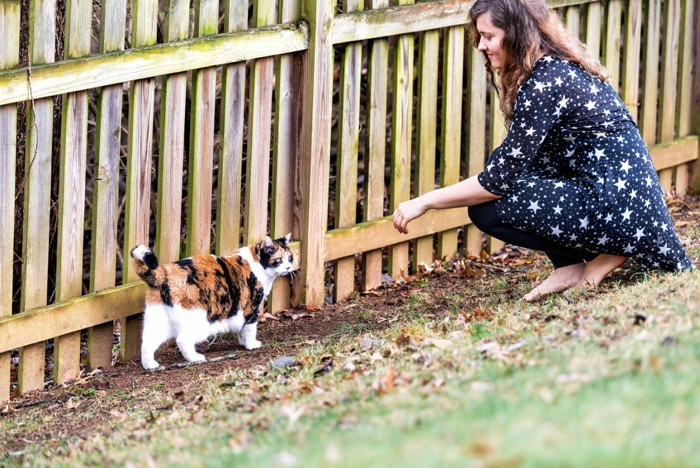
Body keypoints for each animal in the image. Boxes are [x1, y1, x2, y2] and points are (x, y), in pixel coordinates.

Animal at [131, 234, 292, 370]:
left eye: (290, 258)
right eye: (278, 260)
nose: (289, 267)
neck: (256, 263)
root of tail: (164, 273)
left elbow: (242, 330)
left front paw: (242, 342)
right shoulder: (251, 308)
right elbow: (250, 329)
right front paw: (251, 345)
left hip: (157, 322)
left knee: (147, 343)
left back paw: (150, 365)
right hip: (197, 320)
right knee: (182, 340)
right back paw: (195, 358)